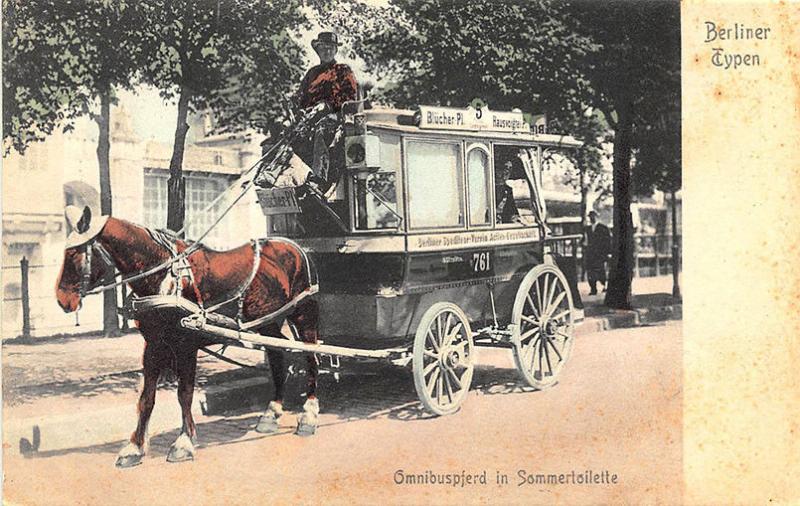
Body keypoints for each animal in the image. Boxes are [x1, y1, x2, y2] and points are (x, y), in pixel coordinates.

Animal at [55, 206, 322, 466]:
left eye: (74, 253)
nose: (62, 300)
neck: (165, 276)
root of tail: (298, 248)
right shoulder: (153, 345)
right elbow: (146, 398)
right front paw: (135, 448)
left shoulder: (187, 345)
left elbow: (184, 394)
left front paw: (183, 443)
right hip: (269, 323)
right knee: (278, 356)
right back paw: (271, 413)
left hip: (303, 315)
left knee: (311, 356)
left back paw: (308, 414)